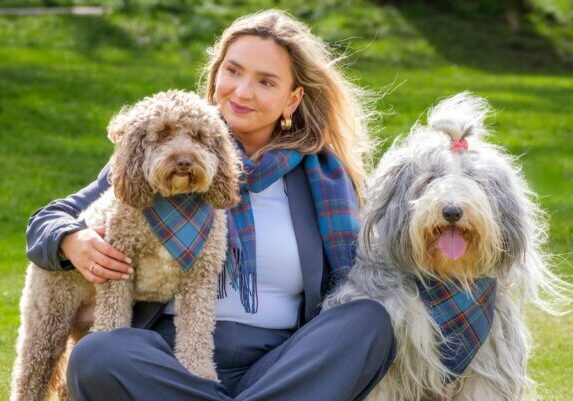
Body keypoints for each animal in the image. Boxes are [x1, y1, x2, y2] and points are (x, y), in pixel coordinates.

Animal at [9, 90, 241, 400]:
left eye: (199, 136)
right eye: (163, 133)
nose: (183, 161)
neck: (176, 205)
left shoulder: (199, 281)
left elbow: (197, 333)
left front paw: (198, 372)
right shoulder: (116, 272)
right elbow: (112, 322)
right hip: (47, 321)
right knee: (30, 376)